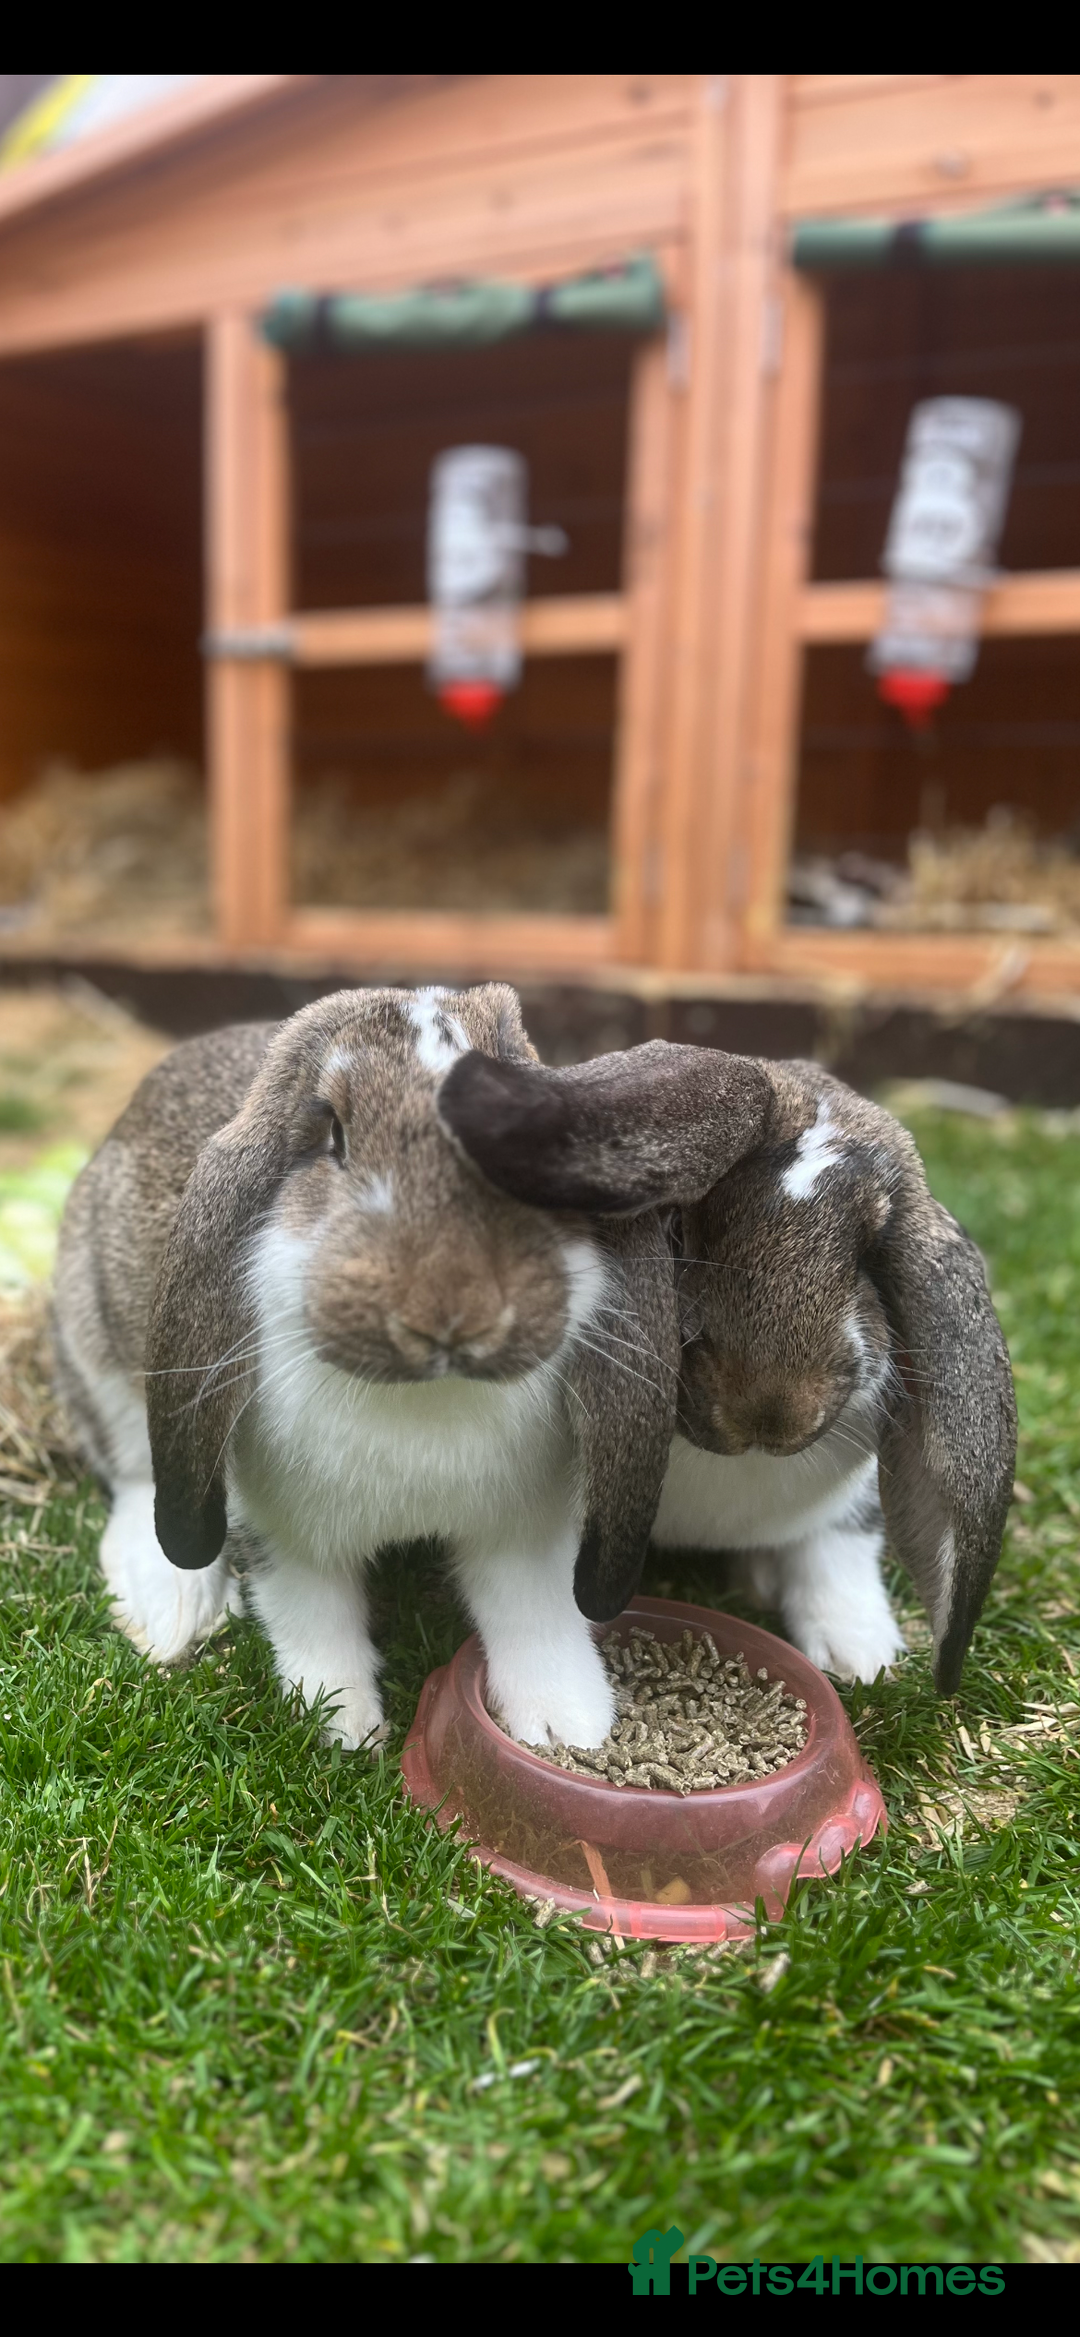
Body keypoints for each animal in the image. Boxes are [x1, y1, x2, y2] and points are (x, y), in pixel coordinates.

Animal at [51, 985, 680, 1751]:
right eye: (334, 1136)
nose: (451, 1311)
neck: (428, 1400)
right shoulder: (286, 1533)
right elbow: (313, 1618)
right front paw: (343, 1726)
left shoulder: (527, 1531)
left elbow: (535, 1617)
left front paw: (570, 1728)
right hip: (96, 1336)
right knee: (134, 1470)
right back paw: (171, 1604)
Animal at [437, 1038, 1016, 1691]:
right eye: (681, 1227)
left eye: (869, 1253)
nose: (770, 1412)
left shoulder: (852, 1501)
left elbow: (837, 1546)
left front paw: (860, 1656)